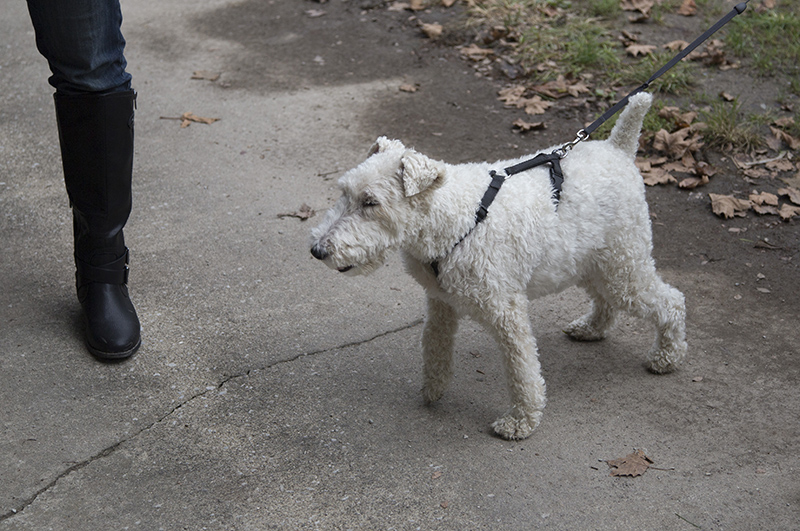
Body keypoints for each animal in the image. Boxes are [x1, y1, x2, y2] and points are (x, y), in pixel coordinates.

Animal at [310, 94, 684, 440]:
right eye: (344, 192)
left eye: (370, 202)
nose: (317, 250)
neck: (455, 218)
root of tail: (618, 148)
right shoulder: (441, 302)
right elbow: (434, 344)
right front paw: (433, 389)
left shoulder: (507, 312)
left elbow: (522, 369)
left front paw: (520, 421)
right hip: (593, 262)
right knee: (608, 300)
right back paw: (592, 328)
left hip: (623, 264)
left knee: (672, 301)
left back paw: (667, 357)